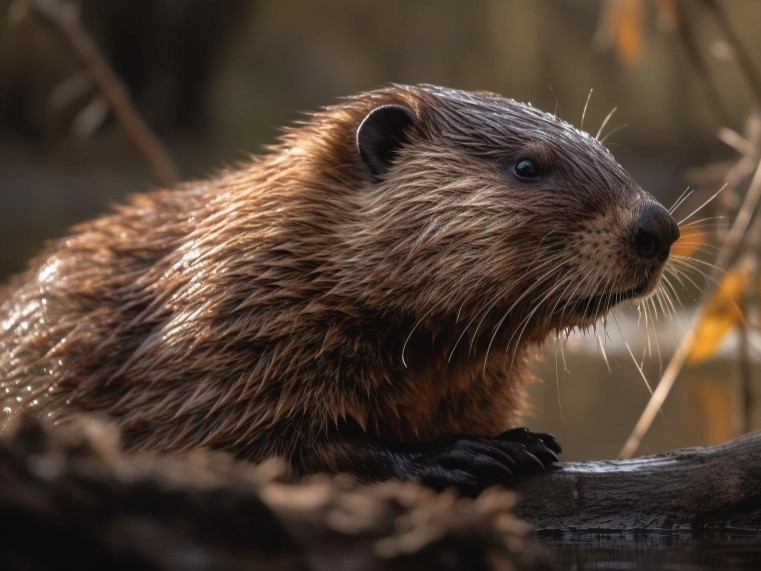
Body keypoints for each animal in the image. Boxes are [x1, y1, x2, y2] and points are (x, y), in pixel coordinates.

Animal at [0, 85, 676, 492]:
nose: (658, 226)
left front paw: (527, 438)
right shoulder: (214, 348)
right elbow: (252, 444)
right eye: (527, 166)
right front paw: (466, 453)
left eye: (606, 152)